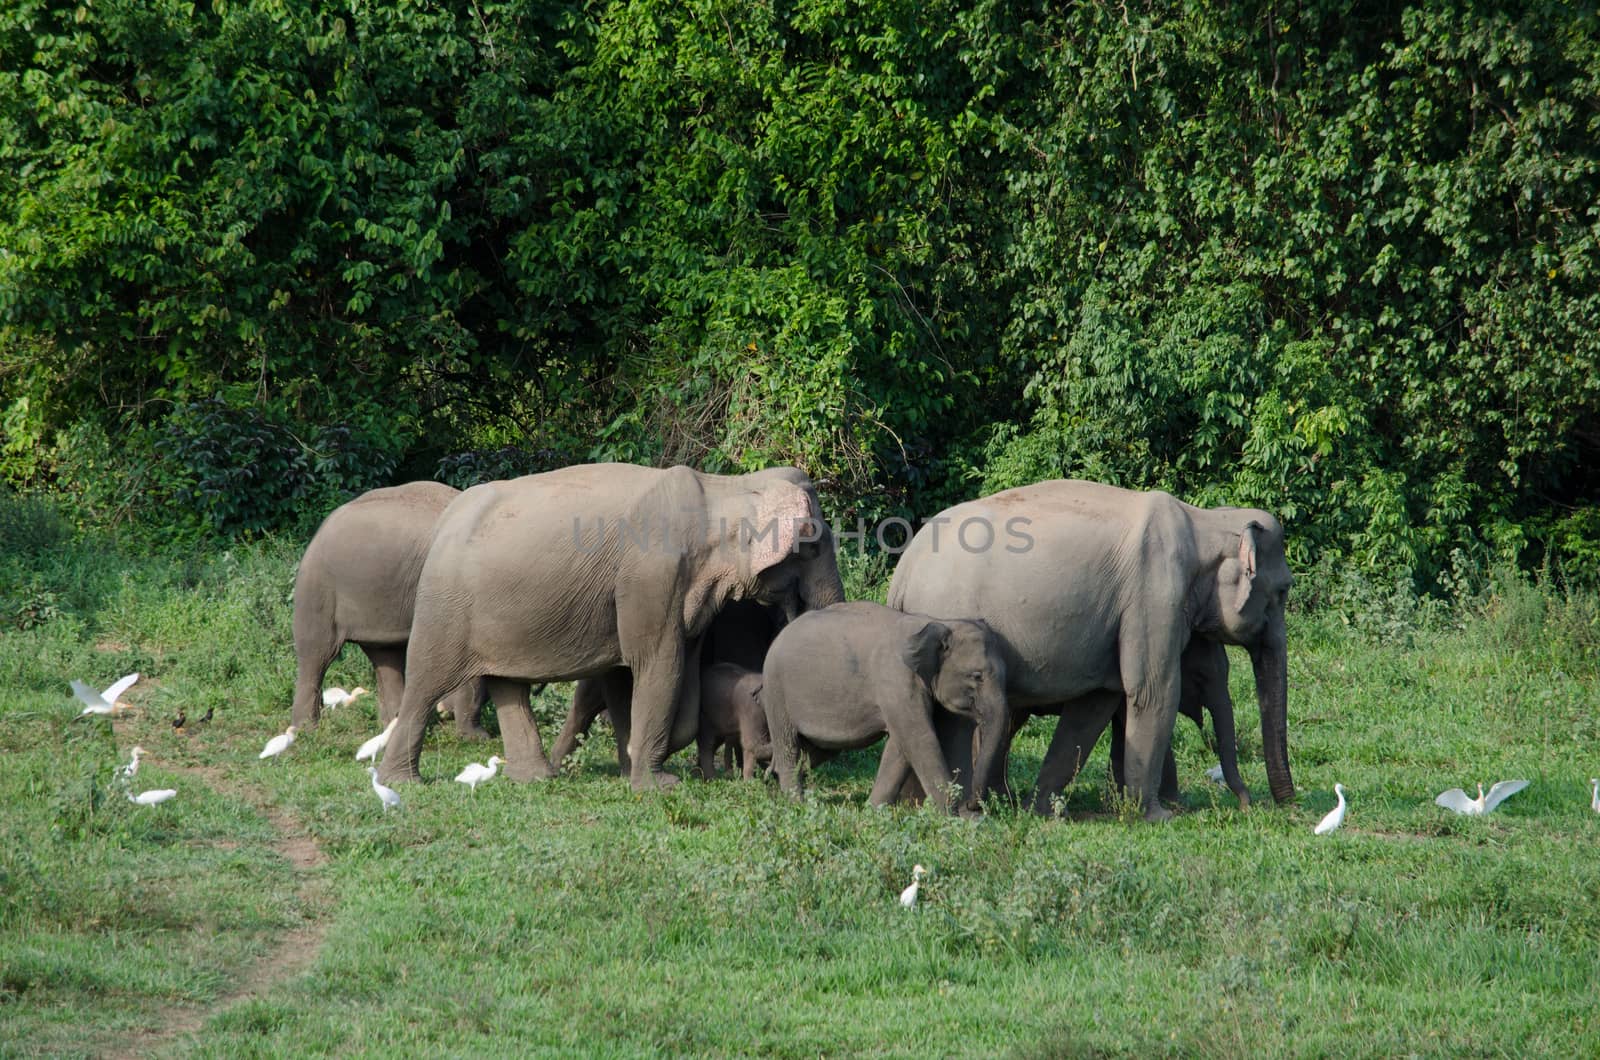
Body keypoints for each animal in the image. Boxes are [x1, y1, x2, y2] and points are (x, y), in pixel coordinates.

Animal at [291, 480, 483, 739]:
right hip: (318, 589)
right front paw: (475, 738)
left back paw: (393, 725)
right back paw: (306, 732)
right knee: (316, 653)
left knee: (384, 655)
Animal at [379, 464, 844, 787]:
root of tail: (445, 518)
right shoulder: (650, 579)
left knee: (507, 685)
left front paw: (633, 765)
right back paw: (401, 782)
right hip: (445, 607)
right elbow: (659, 665)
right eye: (815, 544)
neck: (726, 487)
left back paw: (535, 778)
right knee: (426, 682)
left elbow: (636, 677)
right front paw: (658, 785)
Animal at [758, 602, 1004, 816]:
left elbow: (900, 746)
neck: (937, 622)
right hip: (776, 692)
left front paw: (873, 811)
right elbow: (919, 739)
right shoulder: (896, 681)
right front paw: (954, 818)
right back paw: (797, 805)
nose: (973, 804)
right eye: (977, 676)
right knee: (789, 746)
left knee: (815, 751)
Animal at [883, 480, 1292, 819]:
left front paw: (1043, 810)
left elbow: (1099, 702)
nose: (1265, 805)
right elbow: (1152, 691)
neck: (1205, 521)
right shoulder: (1155, 594)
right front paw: (1156, 816)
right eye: (1284, 590)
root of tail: (903, 571)